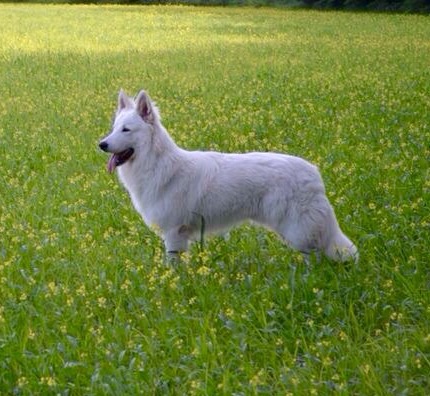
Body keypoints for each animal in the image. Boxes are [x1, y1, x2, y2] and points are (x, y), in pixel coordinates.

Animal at [99, 89, 358, 262]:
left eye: (126, 130)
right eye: (114, 129)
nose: (101, 144)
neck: (157, 163)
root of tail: (313, 172)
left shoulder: (174, 232)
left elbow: (173, 263)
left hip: (298, 229)